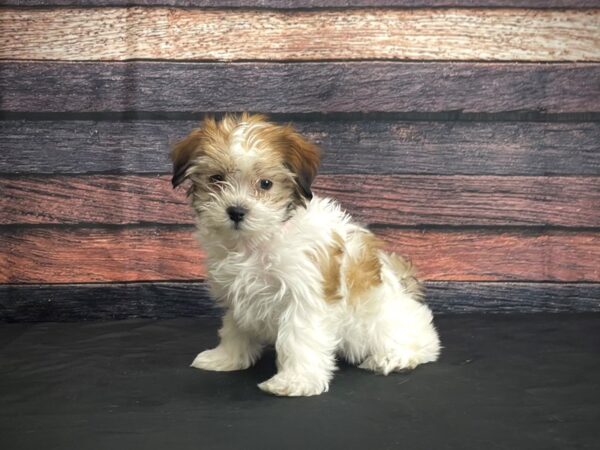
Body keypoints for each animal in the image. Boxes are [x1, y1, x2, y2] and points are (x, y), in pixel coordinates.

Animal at [170, 113, 440, 398]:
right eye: (217, 178)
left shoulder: (305, 296)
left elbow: (298, 339)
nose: (236, 211)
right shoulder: (239, 293)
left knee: (423, 342)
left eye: (265, 184)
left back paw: (393, 358)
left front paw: (295, 381)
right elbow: (235, 327)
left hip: (386, 321)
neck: (256, 242)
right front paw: (226, 357)